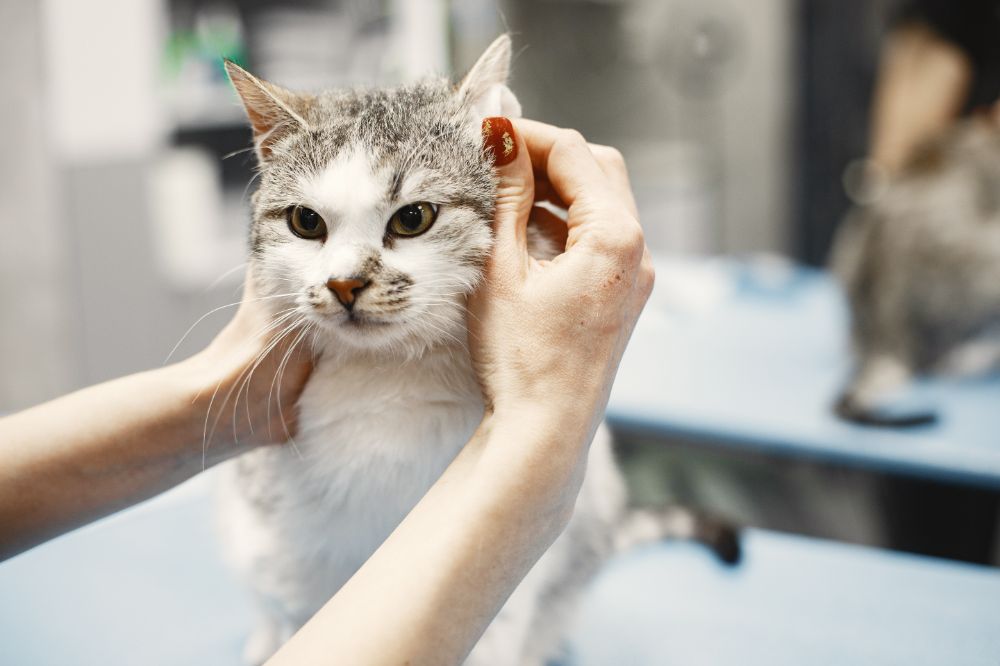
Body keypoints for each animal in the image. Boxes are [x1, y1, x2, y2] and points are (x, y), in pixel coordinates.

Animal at [217, 37, 736, 664]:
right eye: (305, 221)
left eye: (413, 218)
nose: (344, 284)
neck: (389, 379)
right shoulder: (287, 549)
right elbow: (295, 607)